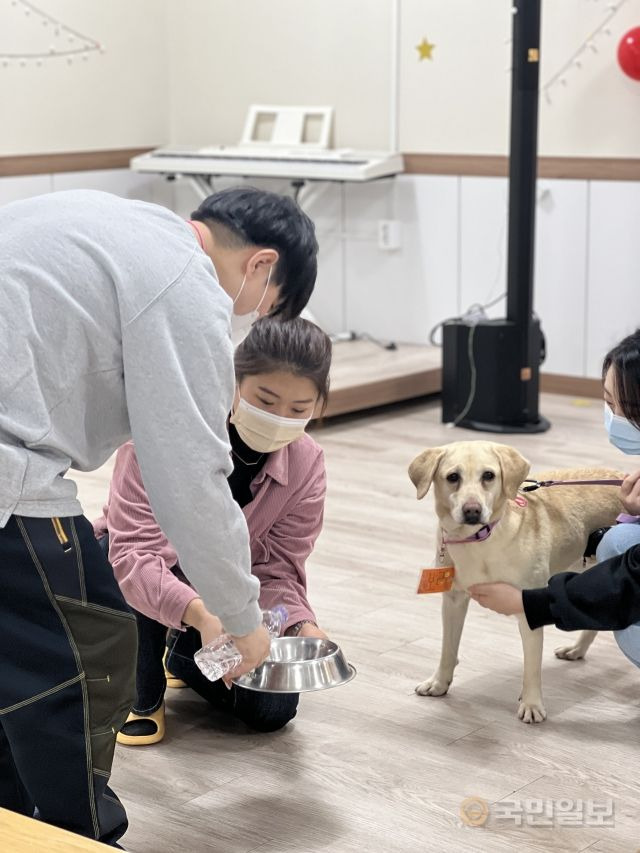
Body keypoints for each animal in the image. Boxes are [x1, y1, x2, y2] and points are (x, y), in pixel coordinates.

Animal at [408, 442, 624, 724]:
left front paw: (532, 704)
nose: (472, 510)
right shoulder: (453, 601)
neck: (480, 540)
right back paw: (576, 649)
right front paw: (439, 683)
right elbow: (448, 649)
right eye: (453, 477)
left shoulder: (527, 608)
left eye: (488, 475)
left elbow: (531, 667)